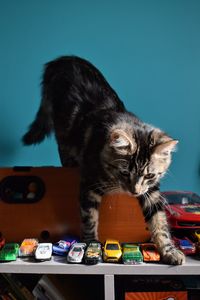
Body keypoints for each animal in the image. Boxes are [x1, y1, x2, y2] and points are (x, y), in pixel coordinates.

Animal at [22, 54, 185, 264]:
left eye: (149, 175)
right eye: (124, 172)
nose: (134, 192)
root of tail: (63, 59)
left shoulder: (152, 192)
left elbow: (159, 222)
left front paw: (169, 250)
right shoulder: (89, 186)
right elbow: (90, 219)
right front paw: (89, 244)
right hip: (63, 133)